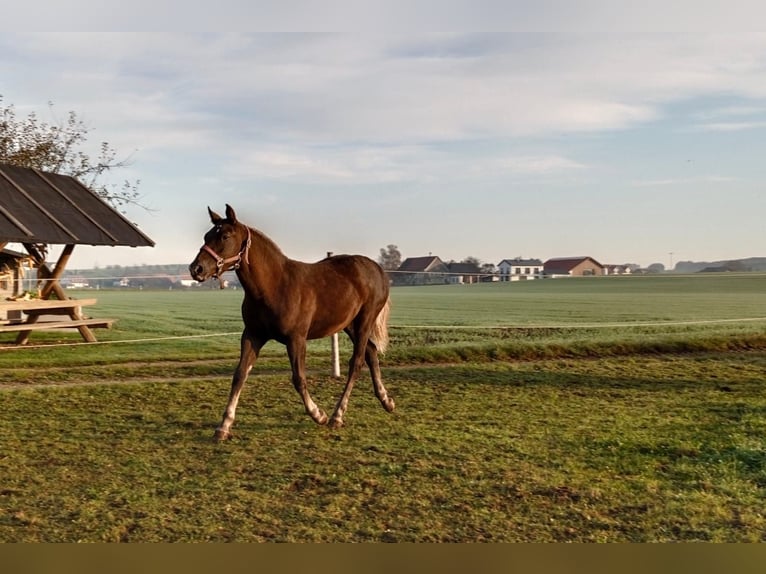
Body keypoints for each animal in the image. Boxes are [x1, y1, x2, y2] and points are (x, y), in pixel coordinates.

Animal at [189, 204, 395, 440]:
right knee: (371, 352)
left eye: (225, 236)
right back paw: (386, 401)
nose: (196, 269)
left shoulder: (296, 339)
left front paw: (318, 414)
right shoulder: (252, 335)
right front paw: (223, 426)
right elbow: (239, 374)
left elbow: (298, 378)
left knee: (357, 362)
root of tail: (378, 269)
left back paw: (337, 415)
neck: (273, 286)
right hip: (349, 324)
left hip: (365, 320)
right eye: (206, 236)